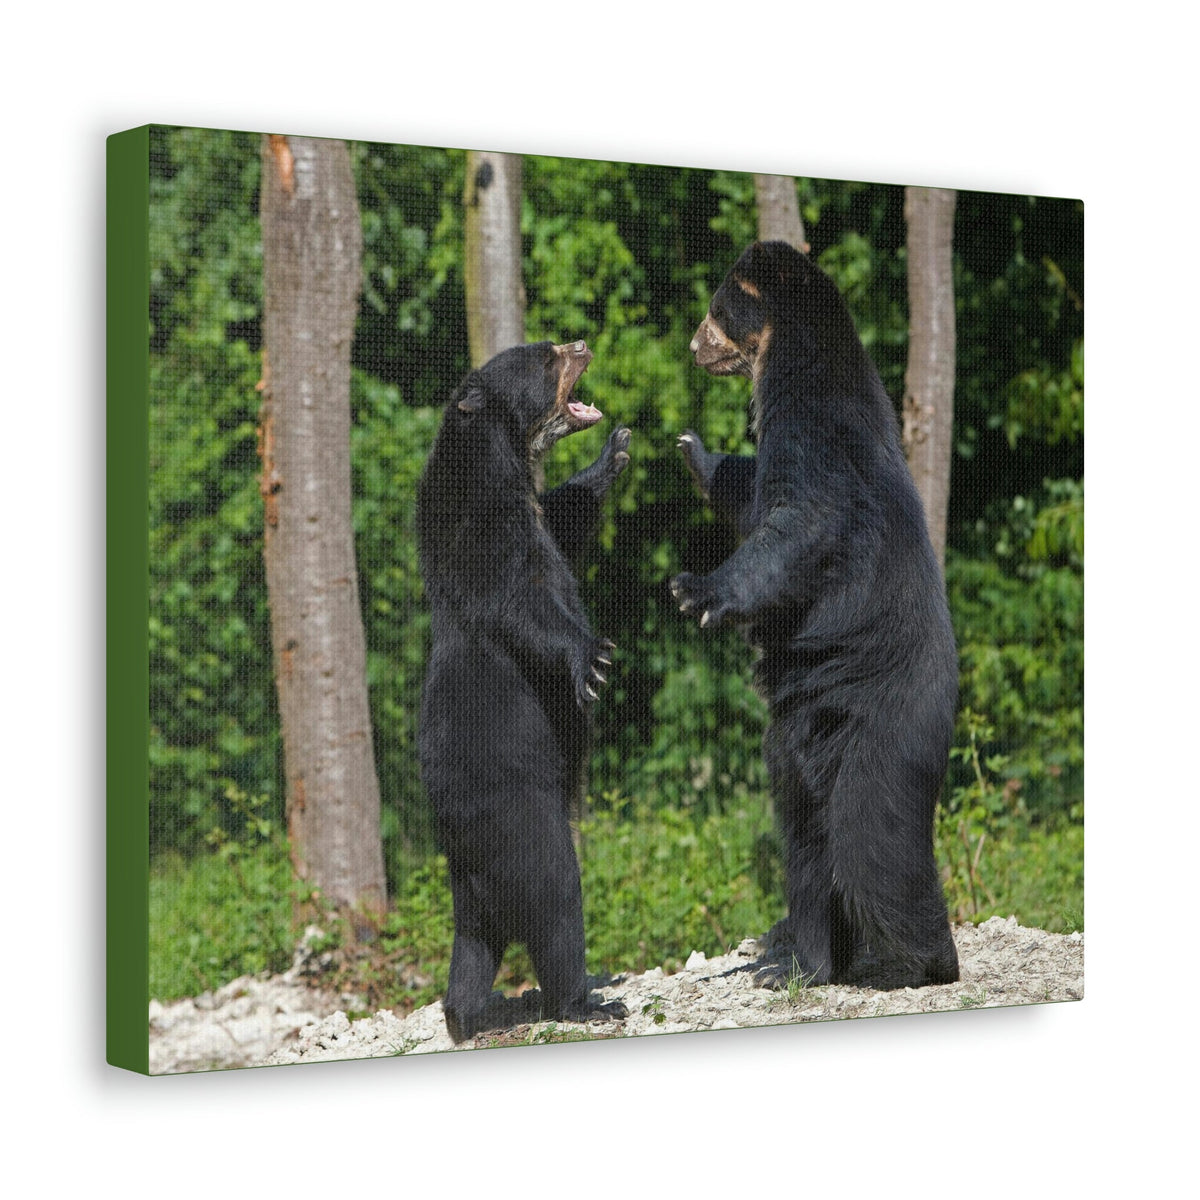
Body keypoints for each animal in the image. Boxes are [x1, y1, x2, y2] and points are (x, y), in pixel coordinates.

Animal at [416, 339, 631, 1042]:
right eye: (544, 358)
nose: (581, 343)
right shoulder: (480, 523)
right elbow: (521, 597)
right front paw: (593, 658)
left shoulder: (531, 511)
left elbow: (565, 518)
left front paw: (612, 454)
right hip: (518, 814)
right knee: (557, 897)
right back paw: (585, 1000)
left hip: (469, 885)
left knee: (472, 946)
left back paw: (463, 1015)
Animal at [672, 240, 960, 989]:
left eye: (716, 308)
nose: (693, 347)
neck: (789, 357)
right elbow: (750, 496)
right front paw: (695, 451)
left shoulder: (817, 430)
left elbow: (800, 521)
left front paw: (695, 590)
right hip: (796, 743)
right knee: (805, 840)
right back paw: (802, 958)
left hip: (882, 728)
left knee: (871, 838)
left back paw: (918, 959)